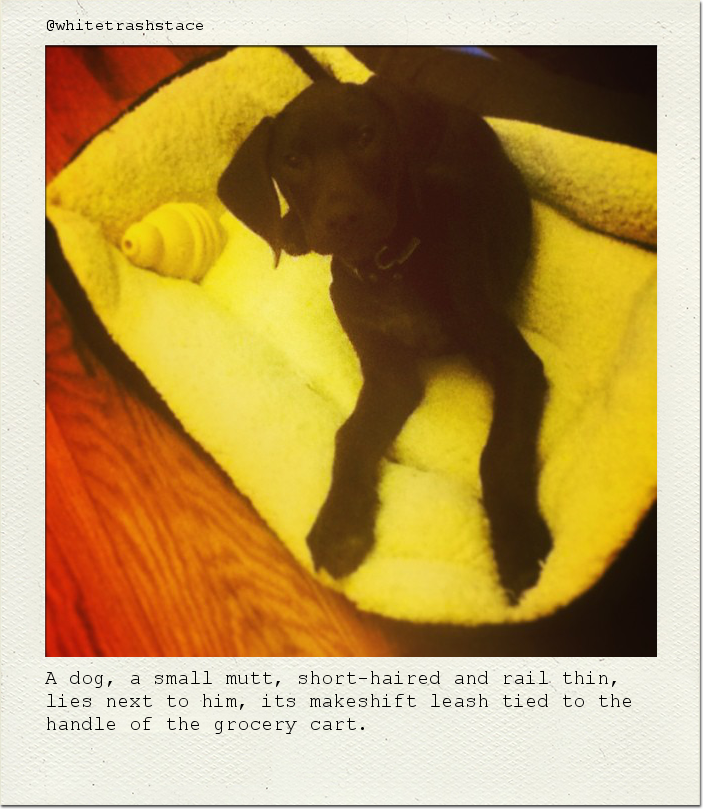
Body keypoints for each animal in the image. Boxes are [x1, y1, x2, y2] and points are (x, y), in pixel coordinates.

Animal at [217, 77, 552, 600]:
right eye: (292, 160)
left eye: (366, 137)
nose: (342, 219)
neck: (389, 267)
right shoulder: (386, 376)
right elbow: (351, 435)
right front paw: (341, 523)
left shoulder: (515, 364)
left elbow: (500, 454)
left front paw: (518, 544)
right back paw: (290, 230)